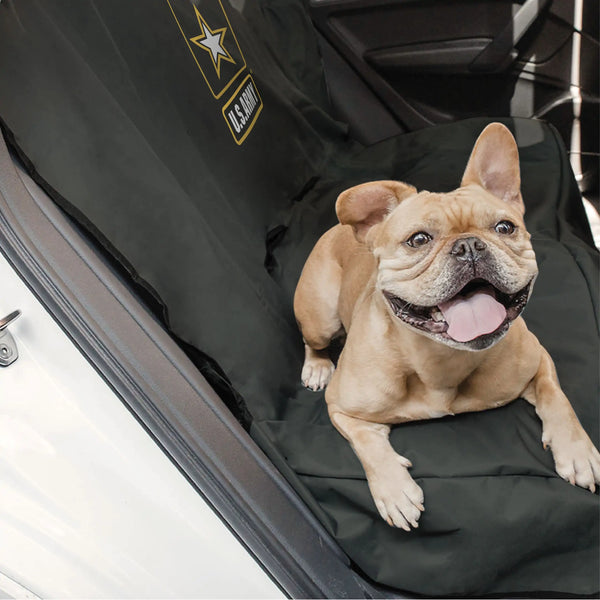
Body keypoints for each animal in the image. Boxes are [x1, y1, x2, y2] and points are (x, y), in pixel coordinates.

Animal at [294, 122, 600, 528]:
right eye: (418, 239)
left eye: (505, 227)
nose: (469, 246)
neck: (440, 360)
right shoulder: (344, 410)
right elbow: (368, 446)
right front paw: (394, 489)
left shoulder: (538, 362)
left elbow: (557, 398)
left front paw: (577, 451)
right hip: (320, 319)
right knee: (313, 340)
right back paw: (317, 366)